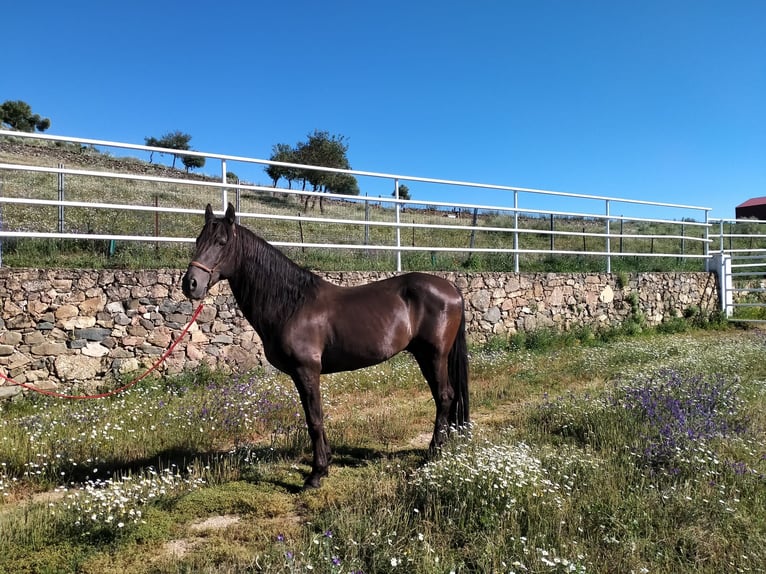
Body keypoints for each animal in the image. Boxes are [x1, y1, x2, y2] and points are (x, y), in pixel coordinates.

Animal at [183, 205, 472, 488]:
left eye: (221, 242)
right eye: (198, 240)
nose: (190, 284)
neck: (292, 305)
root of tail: (451, 287)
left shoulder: (306, 371)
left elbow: (314, 419)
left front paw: (317, 473)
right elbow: (315, 416)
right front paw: (327, 461)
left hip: (434, 356)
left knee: (445, 396)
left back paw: (433, 452)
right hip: (427, 356)